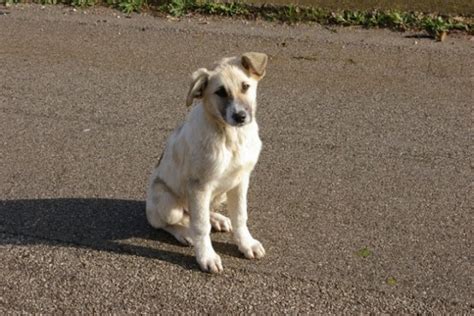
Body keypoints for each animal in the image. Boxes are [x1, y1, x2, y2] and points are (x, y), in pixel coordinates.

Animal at [145, 51, 266, 272]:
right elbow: (201, 226)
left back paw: (217, 219)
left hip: (220, 194)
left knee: (199, 212)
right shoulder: (199, 185)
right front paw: (206, 257)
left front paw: (246, 244)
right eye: (220, 92)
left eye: (245, 86)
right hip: (168, 204)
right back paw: (184, 233)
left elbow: (240, 216)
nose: (240, 116)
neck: (231, 137)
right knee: (172, 221)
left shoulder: (240, 180)